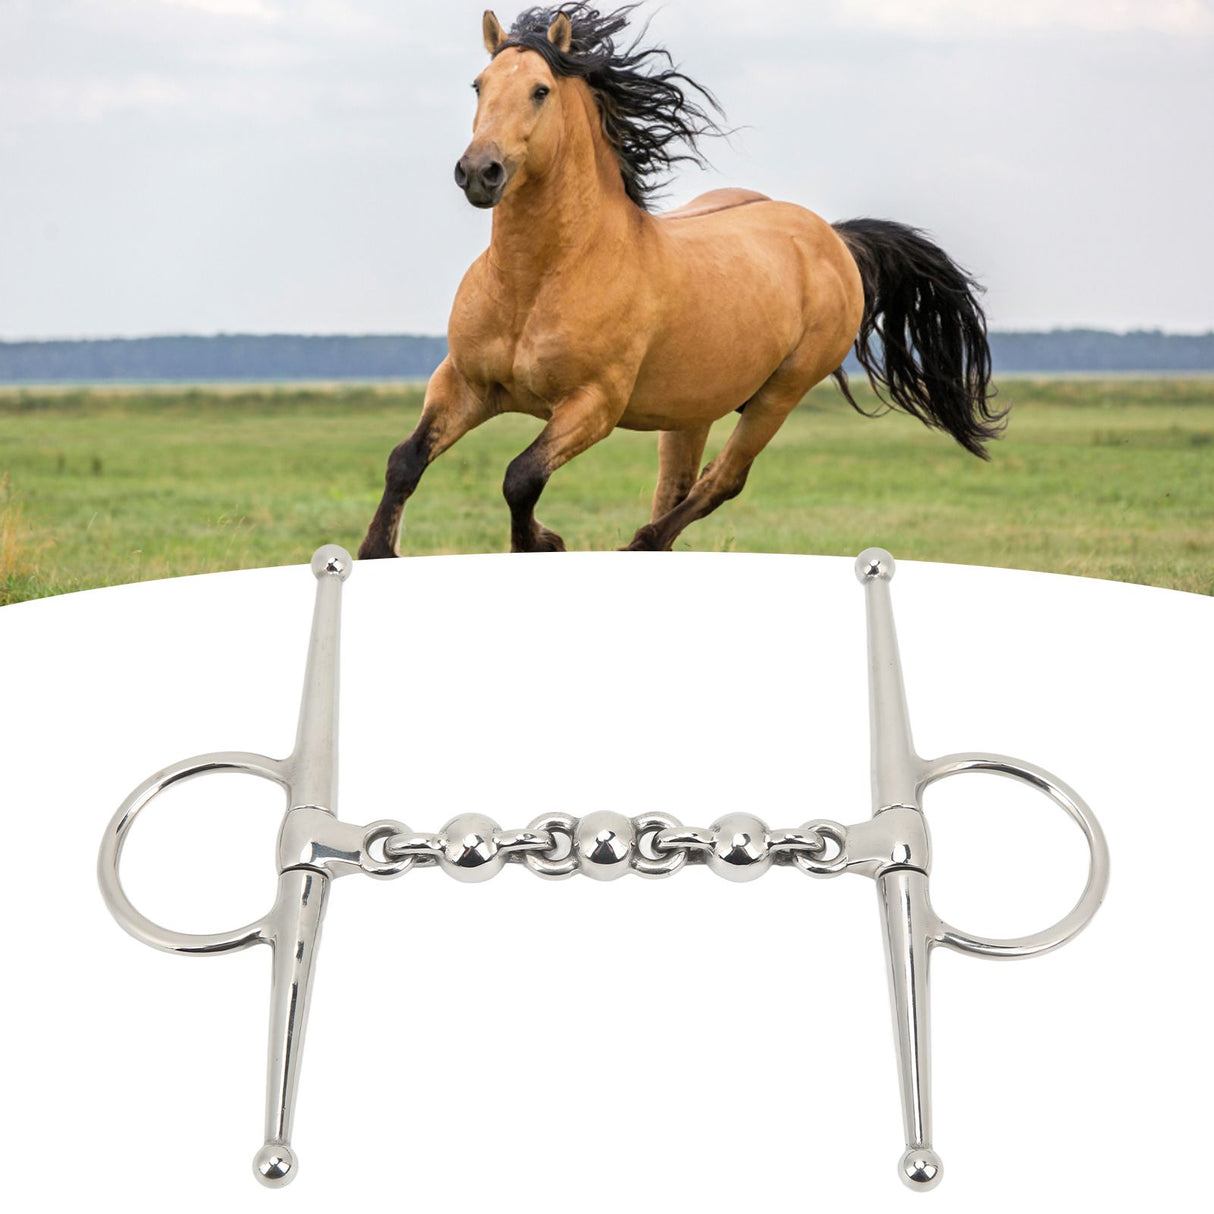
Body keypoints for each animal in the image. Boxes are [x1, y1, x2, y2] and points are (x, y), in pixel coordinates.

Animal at [358, 4, 1004, 559]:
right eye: (478, 85)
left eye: (540, 91)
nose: (479, 172)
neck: (537, 280)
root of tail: (833, 238)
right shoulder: (464, 383)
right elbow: (403, 461)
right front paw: (377, 551)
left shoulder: (593, 405)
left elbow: (521, 477)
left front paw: (545, 544)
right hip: (693, 409)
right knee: (678, 485)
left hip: (779, 394)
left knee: (720, 482)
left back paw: (639, 545)